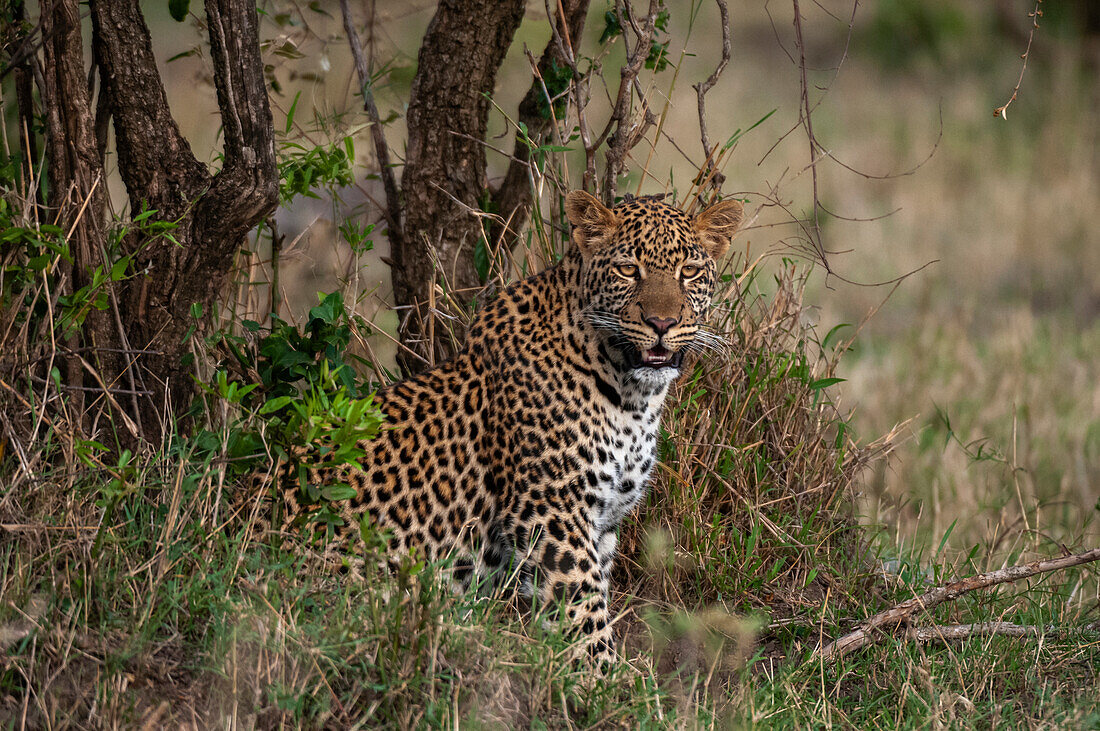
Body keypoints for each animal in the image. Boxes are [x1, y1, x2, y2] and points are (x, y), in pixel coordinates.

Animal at [248, 191, 743, 663]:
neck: (632, 394)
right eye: (627, 270)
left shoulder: (603, 520)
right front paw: (605, 684)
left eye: (689, 271)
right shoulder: (551, 512)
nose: (662, 323)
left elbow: (591, 600)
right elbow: (583, 615)